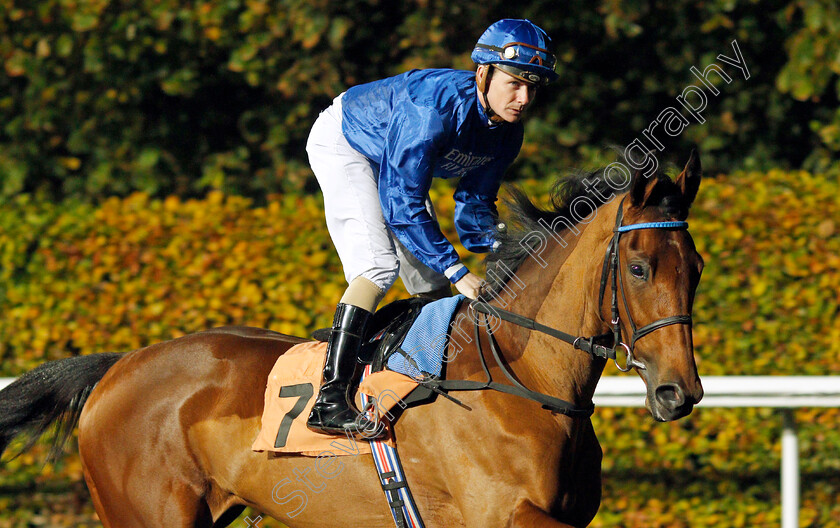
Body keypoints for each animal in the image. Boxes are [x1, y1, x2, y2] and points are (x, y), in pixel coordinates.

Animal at [1, 151, 704, 524]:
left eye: (696, 267)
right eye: (639, 267)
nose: (680, 392)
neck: (520, 378)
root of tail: (118, 367)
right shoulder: (505, 512)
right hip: (147, 512)